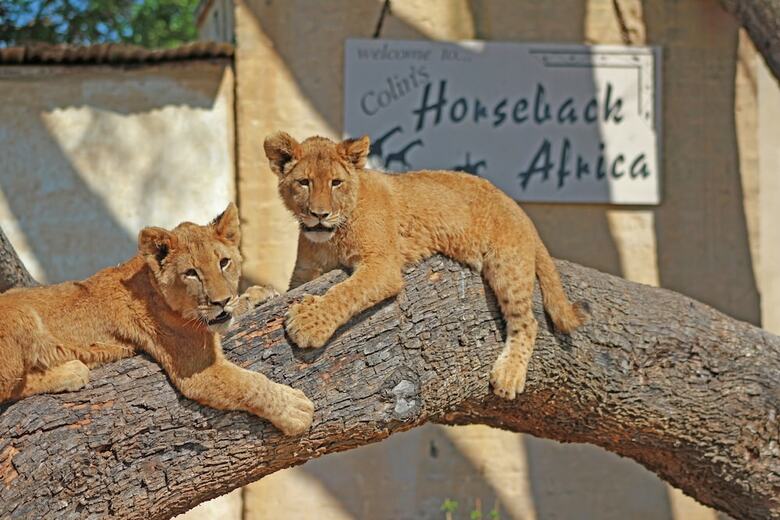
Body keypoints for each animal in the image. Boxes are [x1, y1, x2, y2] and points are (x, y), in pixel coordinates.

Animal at [0, 203, 313, 435]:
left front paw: (258, 294)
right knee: (7, 388)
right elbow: (250, 384)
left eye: (224, 262)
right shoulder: (198, 371)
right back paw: (71, 372)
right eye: (191, 273)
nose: (221, 301)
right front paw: (295, 410)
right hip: (22, 314)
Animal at [264, 133, 588, 399]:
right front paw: (259, 296)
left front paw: (308, 324)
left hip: (507, 264)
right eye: (304, 182)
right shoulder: (304, 274)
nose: (319, 214)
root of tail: (519, 209)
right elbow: (284, 292)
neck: (327, 240)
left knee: (527, 322)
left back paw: (508, 376)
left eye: (336, 183)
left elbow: (346, 292)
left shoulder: (383, 265)